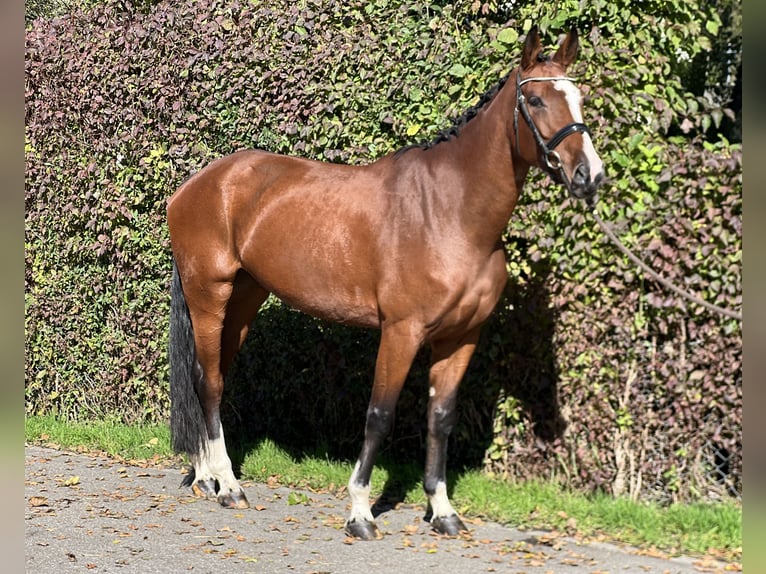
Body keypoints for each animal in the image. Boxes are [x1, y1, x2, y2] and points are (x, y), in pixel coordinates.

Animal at [166, 25, 608, 540]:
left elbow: (441, 419)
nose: (589, 175)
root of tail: (197, 185)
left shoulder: (461, 337)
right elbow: (379, 416)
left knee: (208, 376)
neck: (451, 213)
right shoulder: (401, 332)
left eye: (579, 98)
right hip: (209, 295)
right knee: (210, 383)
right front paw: (360, 511)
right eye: (535, 100)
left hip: (244, 299)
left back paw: (207, 477)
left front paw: (443, 511)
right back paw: (229, 485)